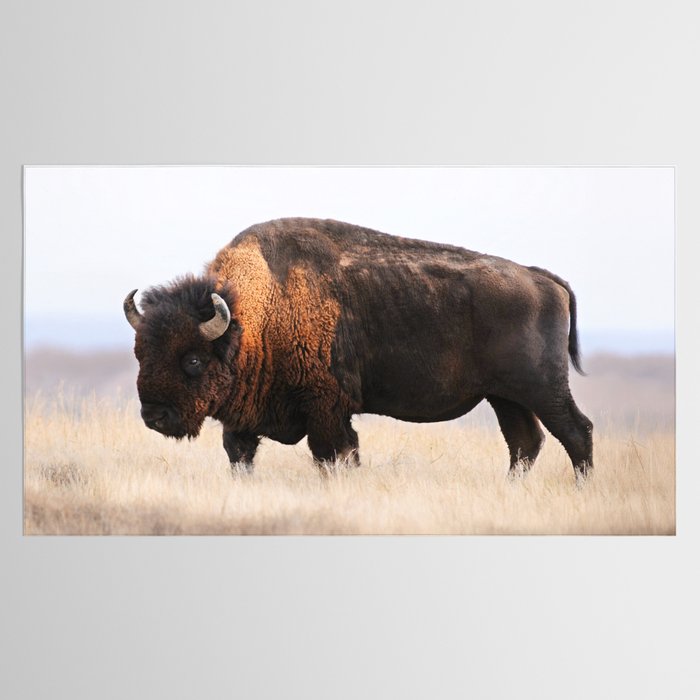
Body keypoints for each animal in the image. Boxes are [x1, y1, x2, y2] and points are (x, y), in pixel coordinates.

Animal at [124, 218, 592, 479]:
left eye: (193, 359)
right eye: (140, 354)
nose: (154, 416)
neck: (255, 312)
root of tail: (541, 278)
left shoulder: (327, 409)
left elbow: (335, 454)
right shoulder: (243, 420)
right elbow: (240, 455)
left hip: (541, 388)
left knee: (575, 431)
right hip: (505, 397)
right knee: (524, 443)